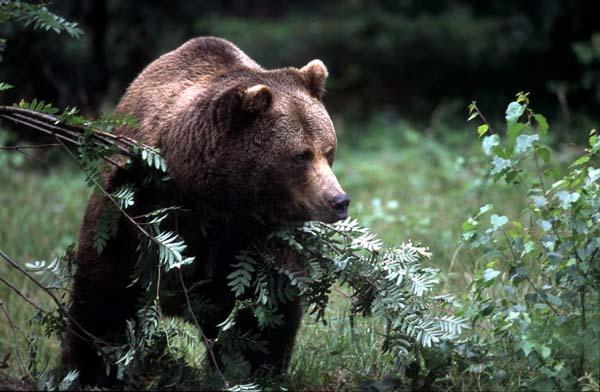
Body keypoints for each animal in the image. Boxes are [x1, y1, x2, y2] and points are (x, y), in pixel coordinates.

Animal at [58, 36, 350, 386]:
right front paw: (89, 371)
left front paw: (253, 370)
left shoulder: (251, 241)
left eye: (328, 150)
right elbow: (104, 299)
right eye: (300, 156)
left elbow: (261, 315)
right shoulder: (132, 209)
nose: (338, 200)